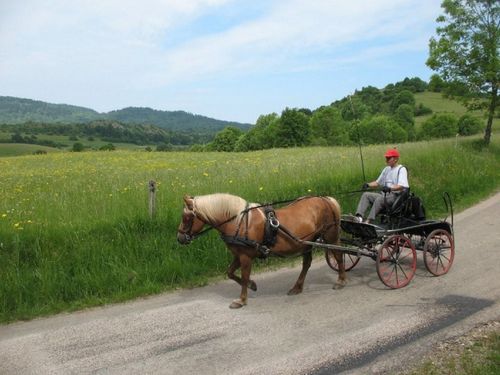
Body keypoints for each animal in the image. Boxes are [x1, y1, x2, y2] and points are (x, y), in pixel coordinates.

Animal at [178, 194, 346, 308]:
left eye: (186, 218)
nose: (180, 238)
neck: (239, 222)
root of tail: (326, 199)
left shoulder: (245, 256)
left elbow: (244, 276)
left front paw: (242, 299)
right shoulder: (238, 254)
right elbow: (230, 272)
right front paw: (252, 285)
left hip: (330, 236)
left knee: (338, 256)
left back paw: (341, 280)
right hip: (306, 243)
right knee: (306, 263)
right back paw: (297, 287)